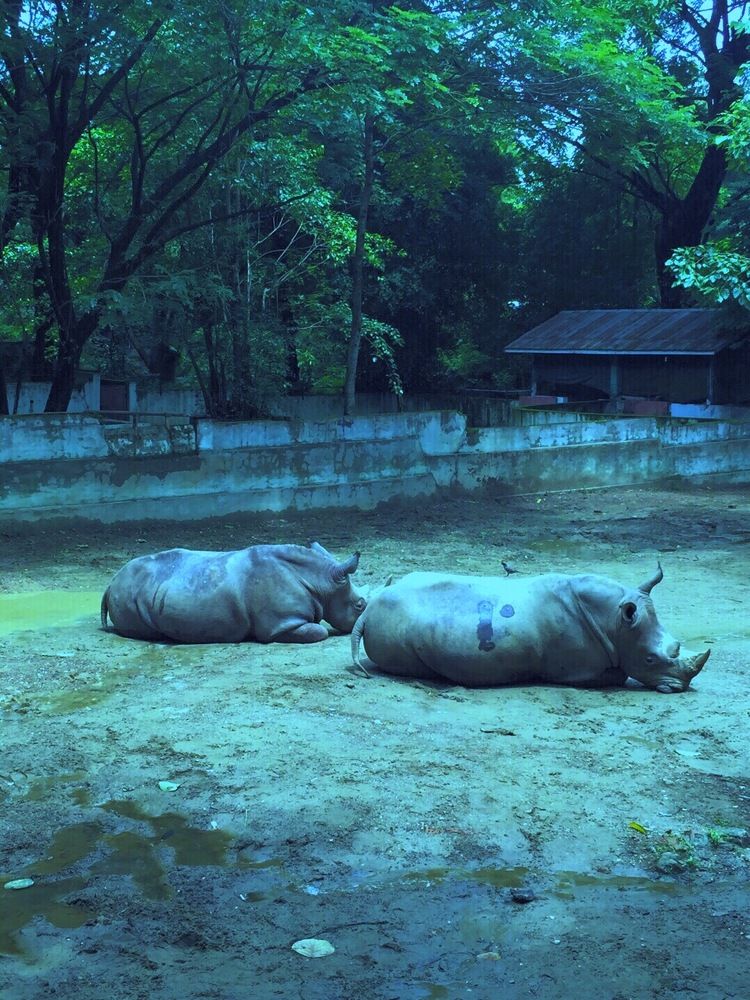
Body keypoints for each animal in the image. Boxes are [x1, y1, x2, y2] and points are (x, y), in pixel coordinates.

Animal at [101, 541, 365, 643]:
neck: (321, 579)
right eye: (360, 605)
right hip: (128, 590)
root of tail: (110, 582)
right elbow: (319, 631)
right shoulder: (282, 624)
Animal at [351, 564, 709, 693]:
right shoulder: (581, 669)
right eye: (649, 659)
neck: (616, 622)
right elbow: (618, 675)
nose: (680, 688)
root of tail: (367, 611)